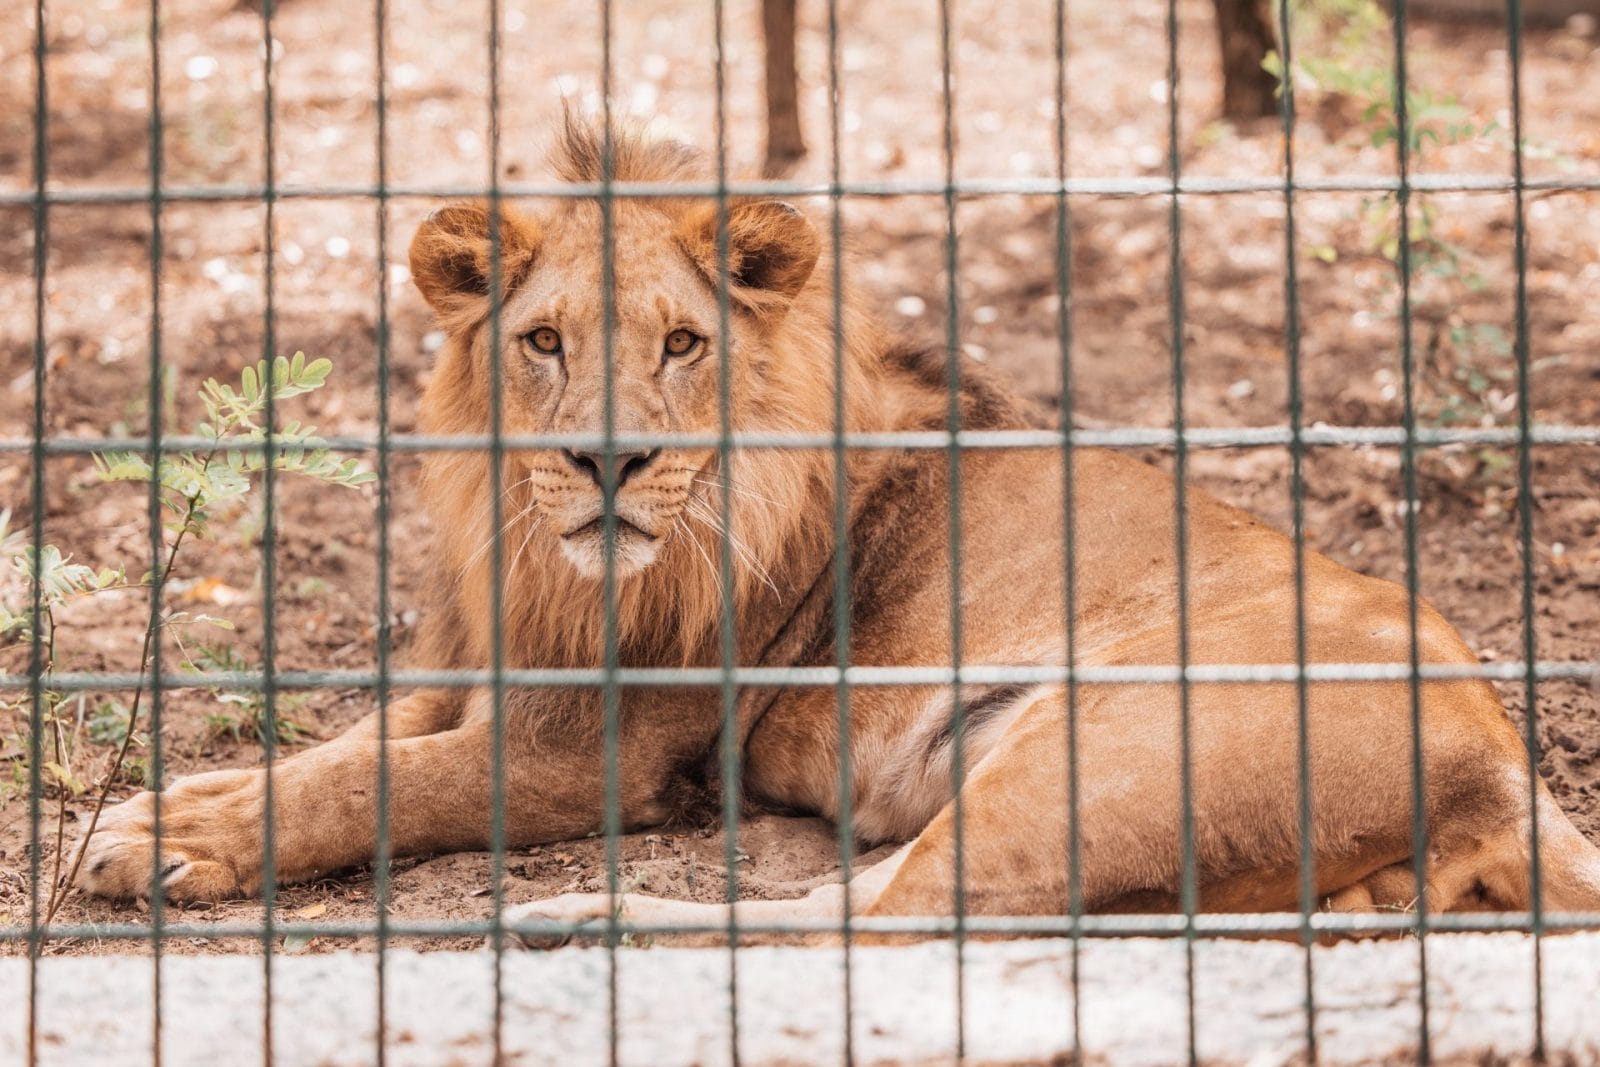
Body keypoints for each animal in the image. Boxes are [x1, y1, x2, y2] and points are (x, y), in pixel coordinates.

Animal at [75, 119, 1600, 938]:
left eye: (682, 342)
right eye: (544, 340)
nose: (610, 459)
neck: (534, 552)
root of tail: (1503, 754)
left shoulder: (595, 745)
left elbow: (391, 784)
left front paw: (171, 839)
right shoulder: (481, 667)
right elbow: (344, 749)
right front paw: (174, 807)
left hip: (1102, 744)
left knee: (894, 918)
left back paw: (581, 919)